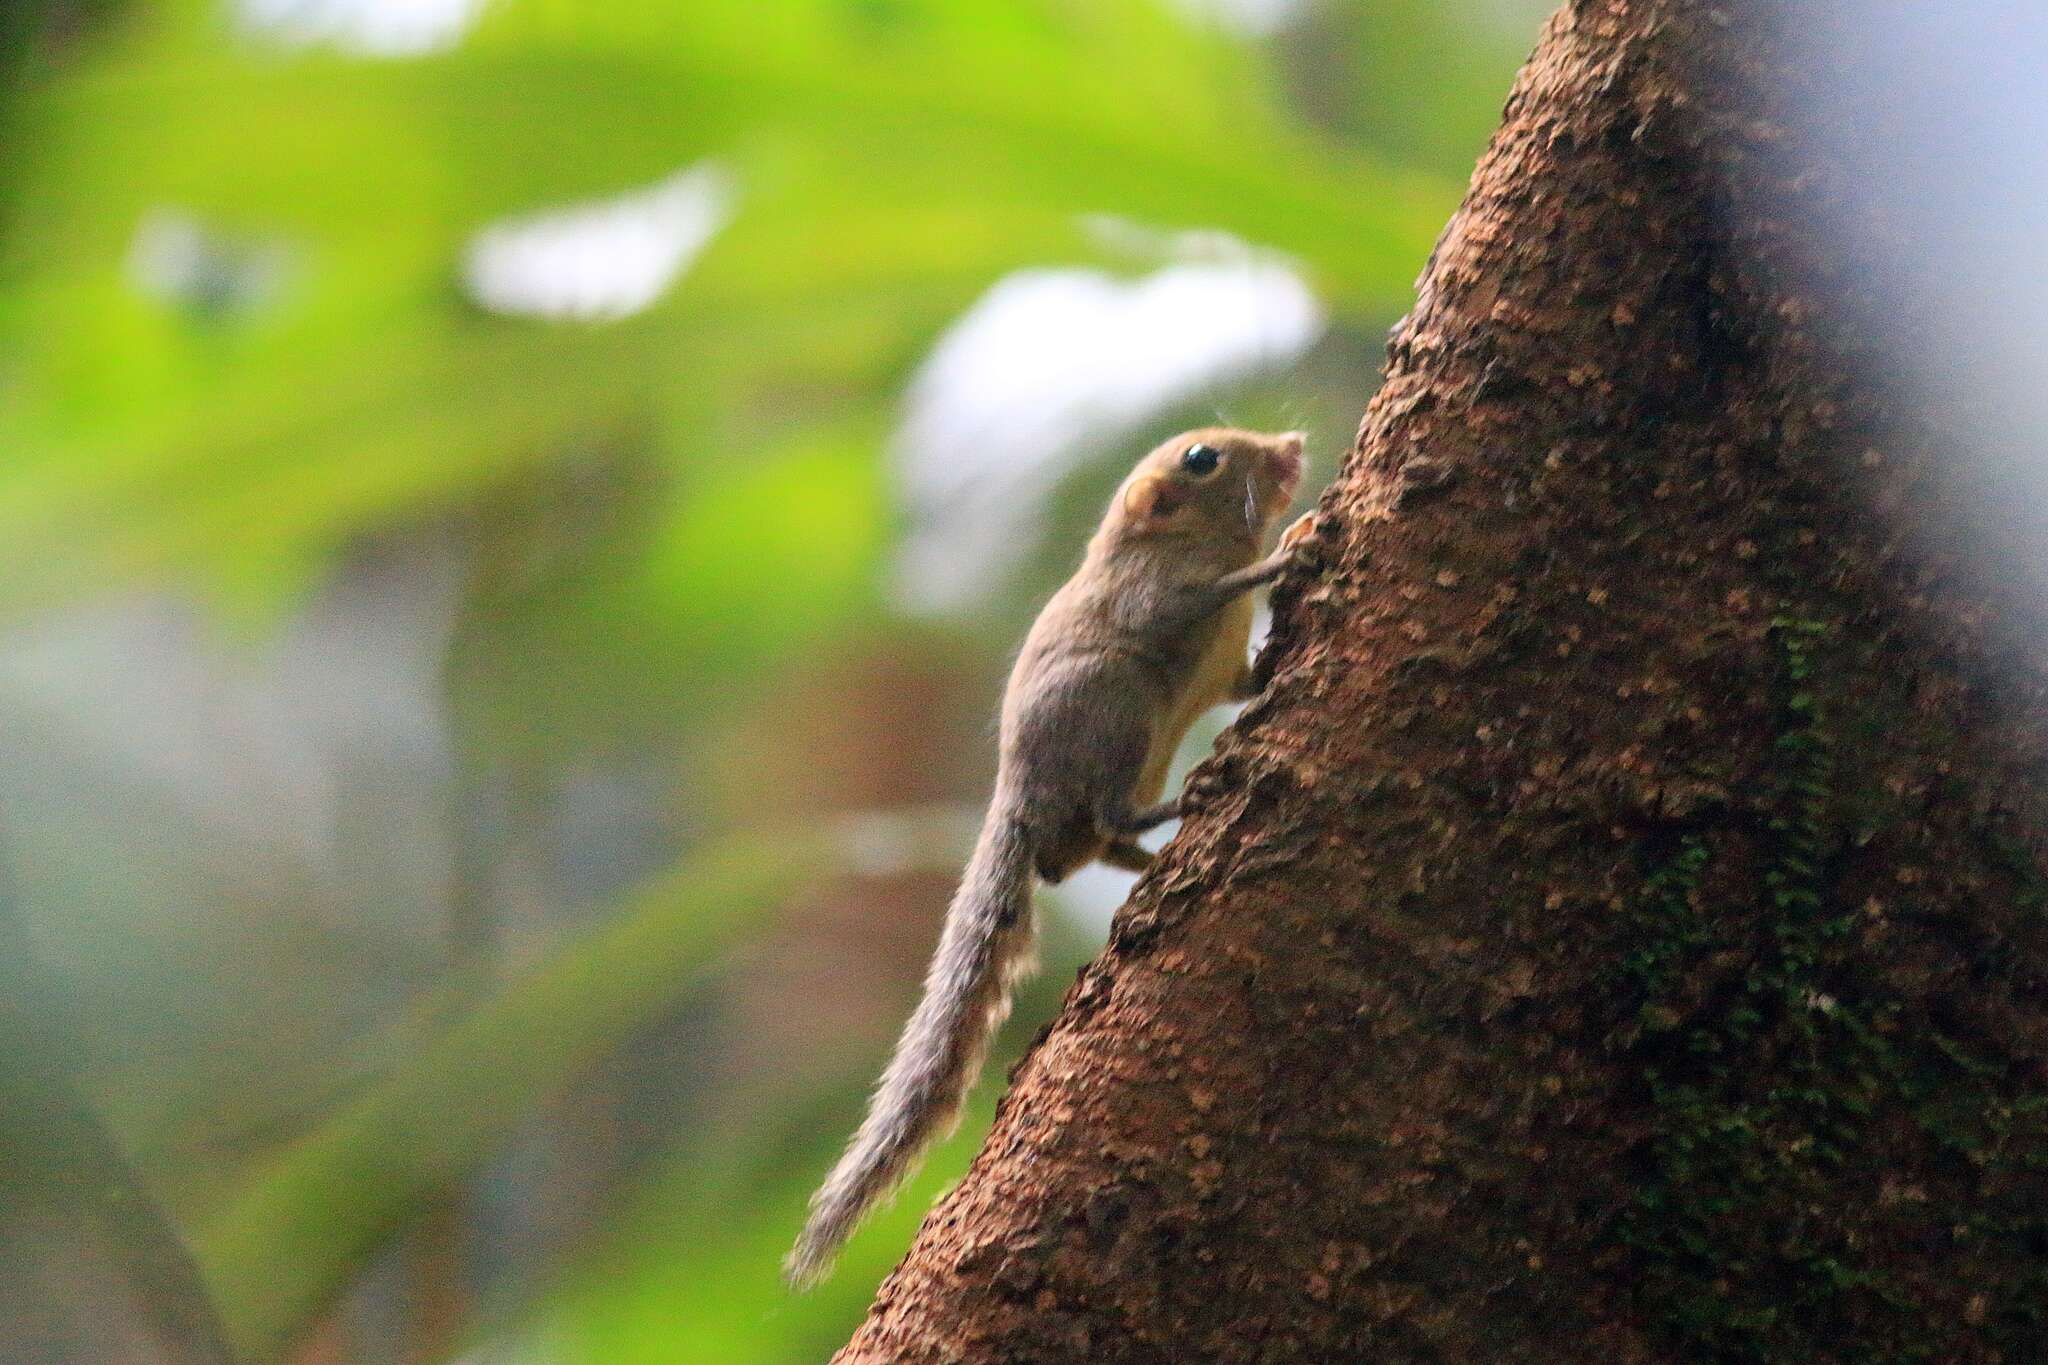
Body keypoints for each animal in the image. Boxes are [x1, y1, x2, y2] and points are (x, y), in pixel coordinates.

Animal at [782, 429, 1310, 1293]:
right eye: (1203, 458)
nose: (1291, 446)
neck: (1167, 540)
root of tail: (1018, 801)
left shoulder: (1228, 670)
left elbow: (1247, 677)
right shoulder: (1153, 601)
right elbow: (1214, 593)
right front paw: (1291, 549)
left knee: (1103, 845)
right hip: (1117, 707)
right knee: (1110, 818)